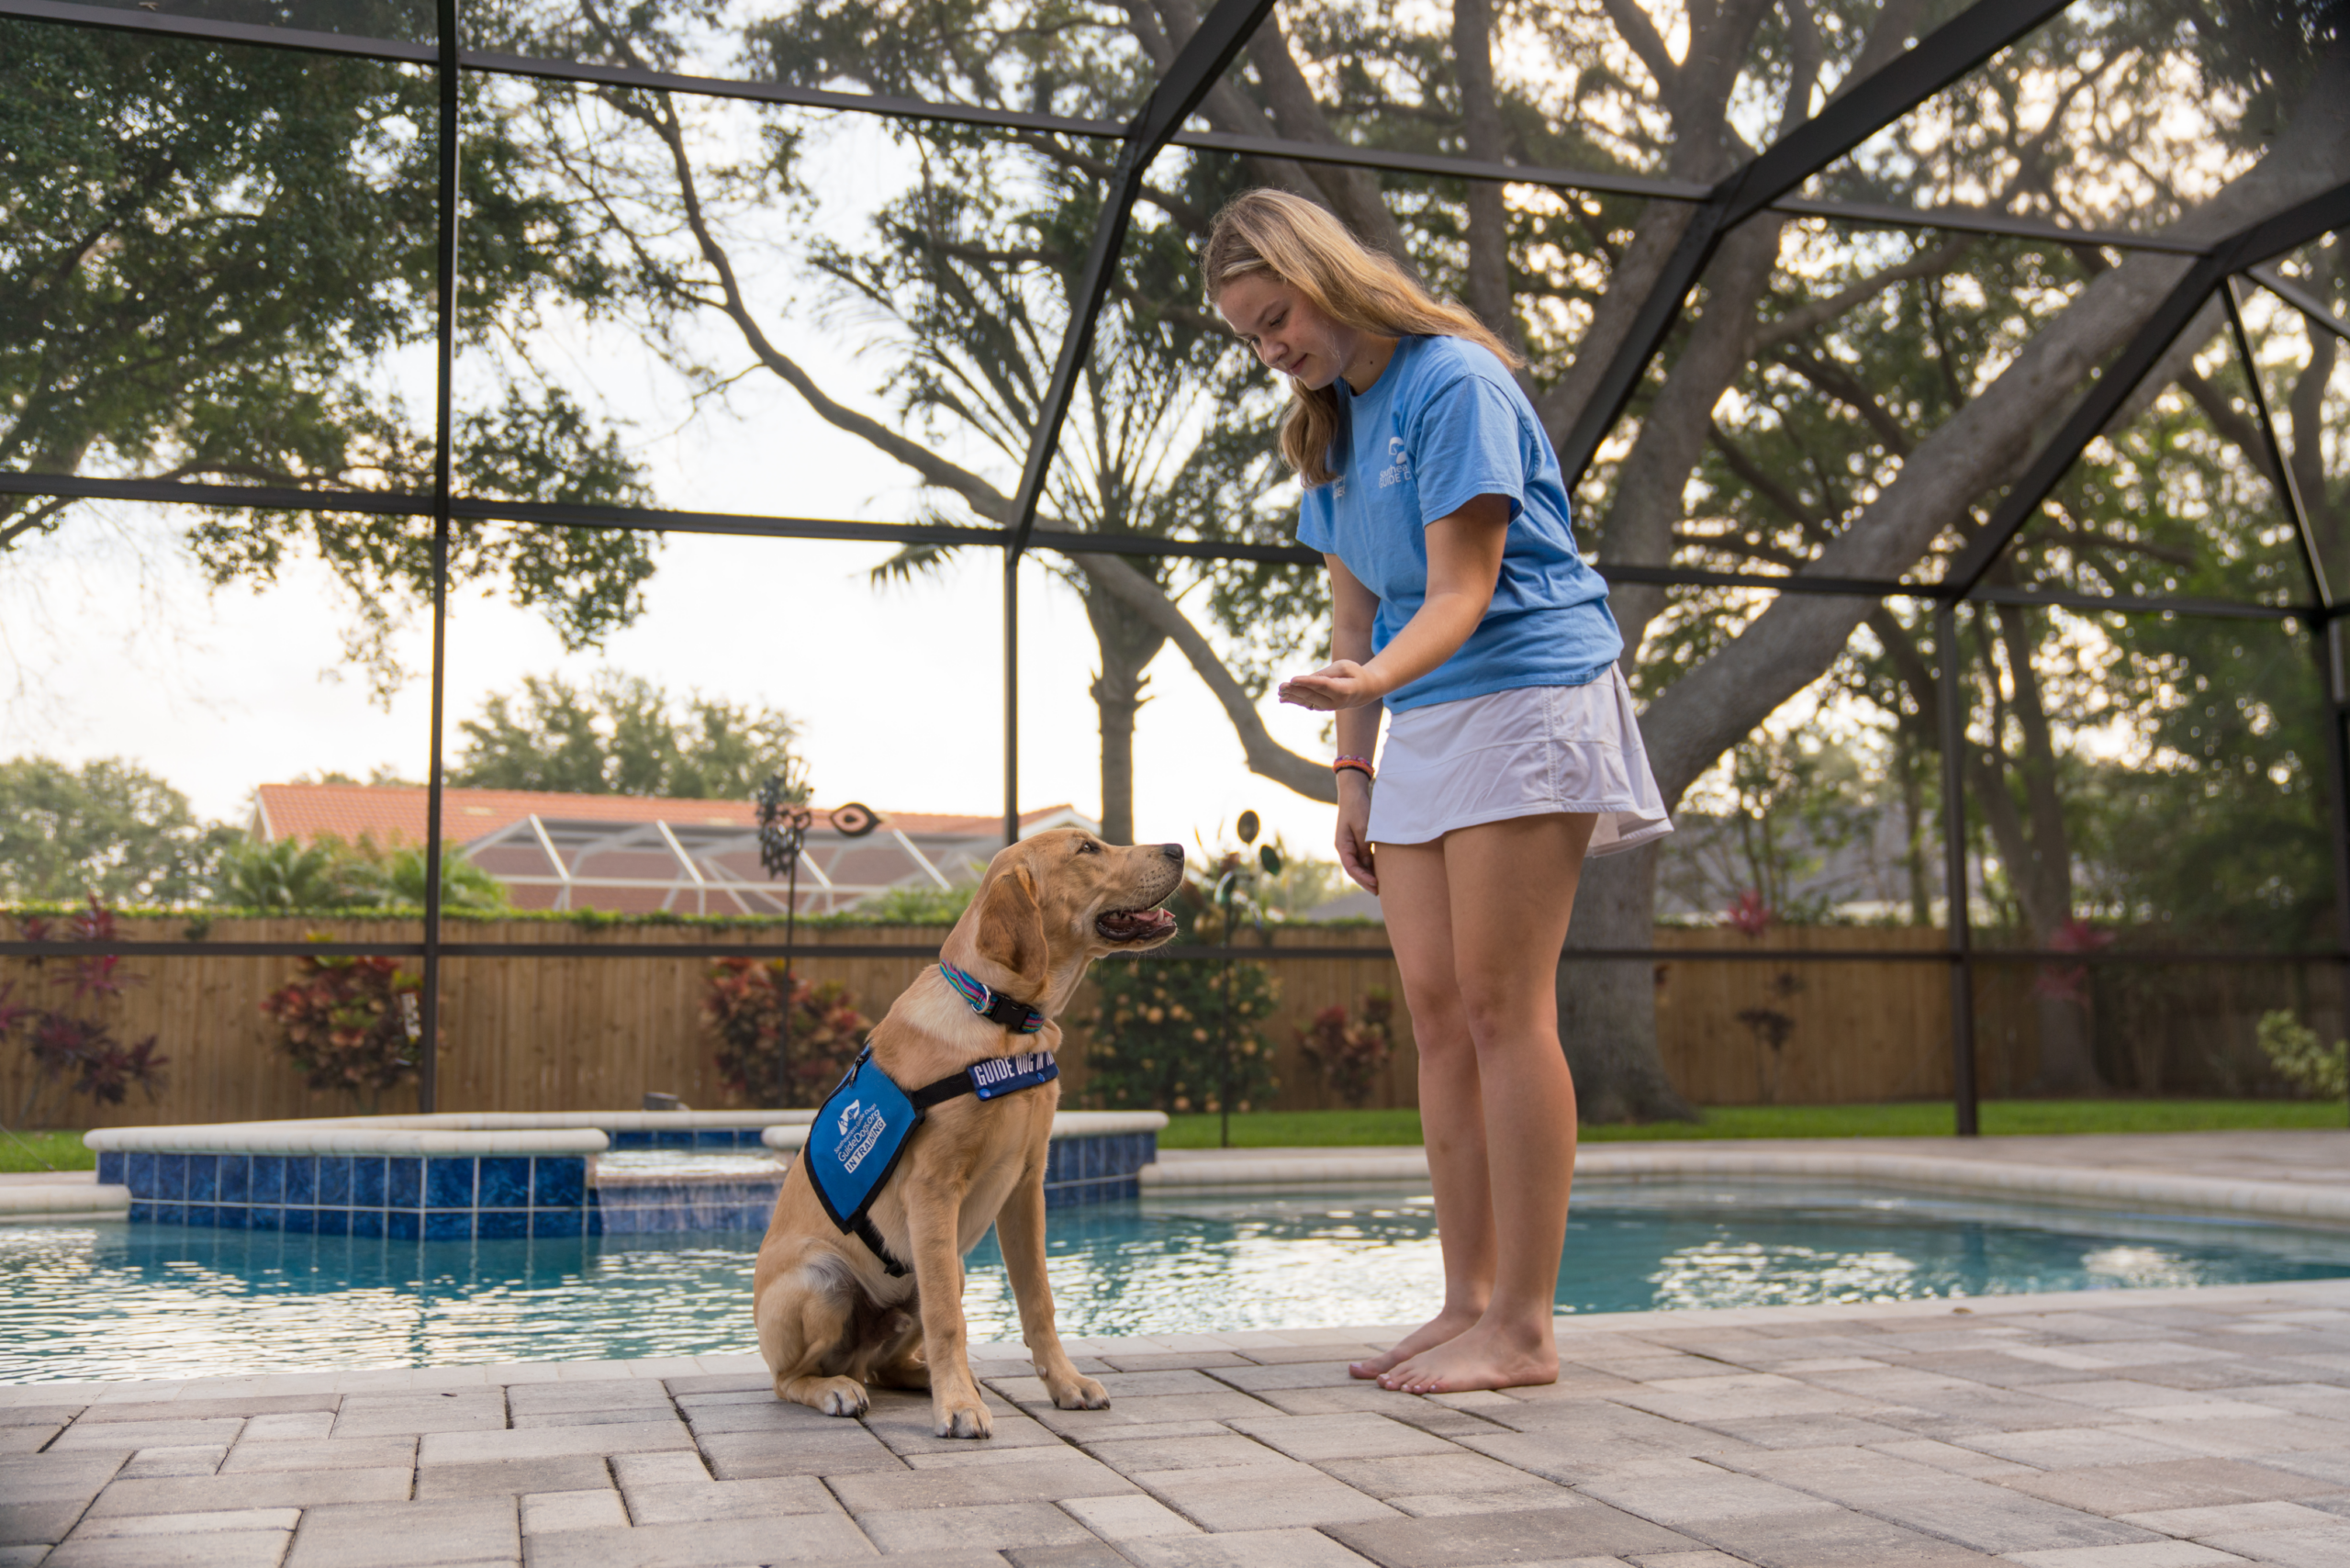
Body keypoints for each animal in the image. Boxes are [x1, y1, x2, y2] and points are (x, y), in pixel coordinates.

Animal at [752, 832, 1184, 1439]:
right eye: (1087, 848)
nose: (1178, 849)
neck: (1001, 1020)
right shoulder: (933, 1191)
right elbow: (947, 1319)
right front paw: (956, 1406)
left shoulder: (1026, 1185)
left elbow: (1037, 1300)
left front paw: (1065, 1384)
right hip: (824, 1280)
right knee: (789, 1379)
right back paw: (838, 1388)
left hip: (947, 1266)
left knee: (885, 1366)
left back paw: (924, 1377)